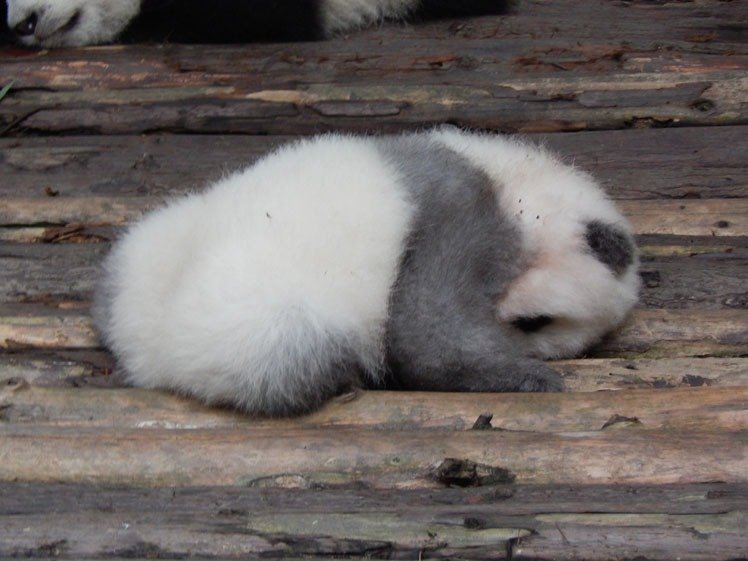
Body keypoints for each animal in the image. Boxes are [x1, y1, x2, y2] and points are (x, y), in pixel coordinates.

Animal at [94, 128, 639, 417]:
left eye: (535, 325)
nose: (500, 320)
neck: (519, 186)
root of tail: (145, 350)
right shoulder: (455, 205)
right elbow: (426, 330)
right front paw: (526, 377)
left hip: (151, 246)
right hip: (257, 315)